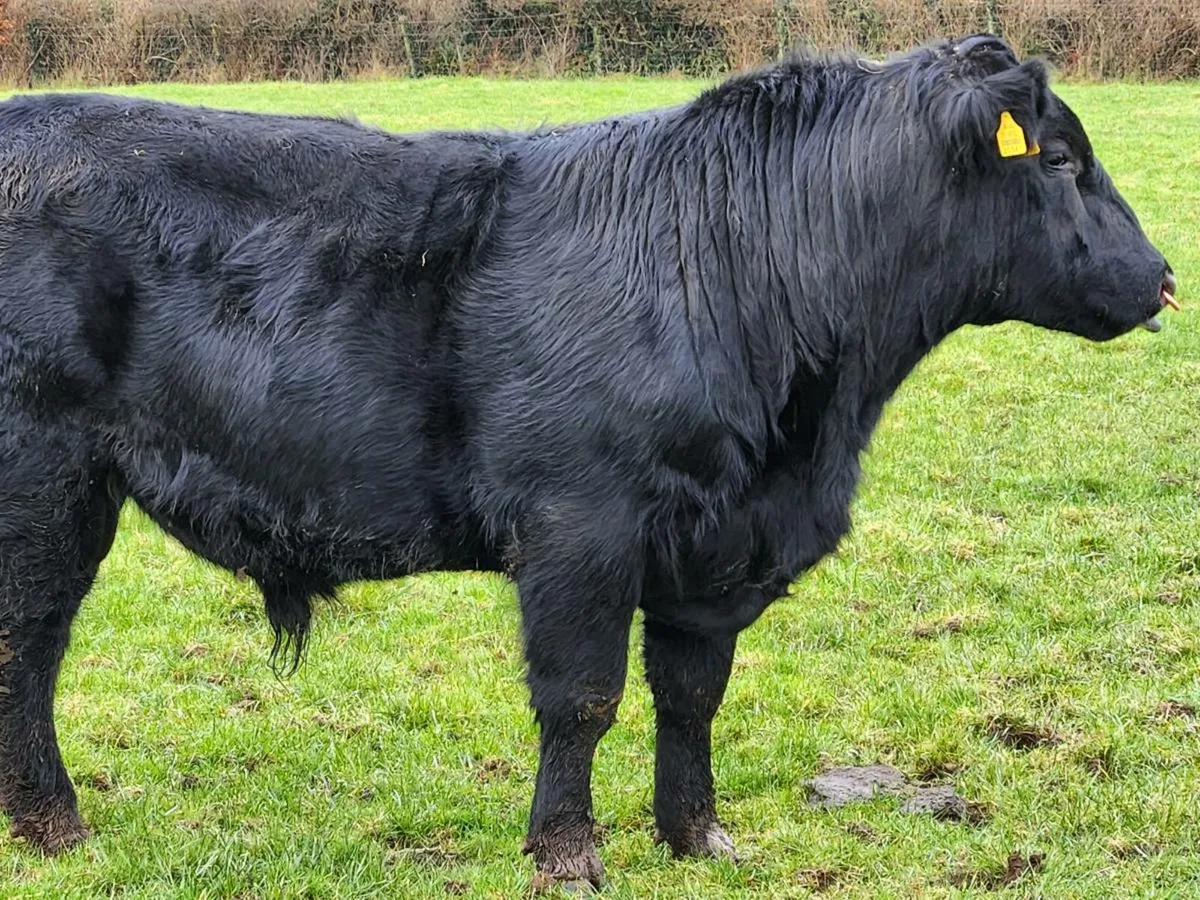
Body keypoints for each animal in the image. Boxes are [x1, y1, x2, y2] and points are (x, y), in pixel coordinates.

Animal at [0, 33, 1176, 889]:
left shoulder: (713, 549)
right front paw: (568, 853)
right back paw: (56, 827)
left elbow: (692, 695)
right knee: (29, 647)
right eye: (1060, 160)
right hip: (46, 481)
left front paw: (698, 835)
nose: (1166, 276)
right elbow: (583, 697)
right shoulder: (582, 529)